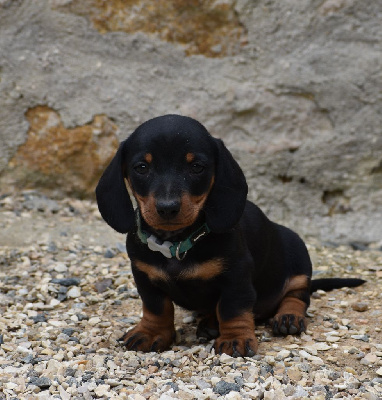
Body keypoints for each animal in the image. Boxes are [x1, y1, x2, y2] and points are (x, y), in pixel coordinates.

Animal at [95, 113, 364, 356]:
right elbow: (156, 308)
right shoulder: (144, 276)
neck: (177, 242)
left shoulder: (236, 277)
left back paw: (288, 317)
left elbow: (233, 308)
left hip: (297, 255)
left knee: (298, 294)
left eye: (196, 167)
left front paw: (235, 338)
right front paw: (150, 333)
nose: (167, 207)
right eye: (142, 167)